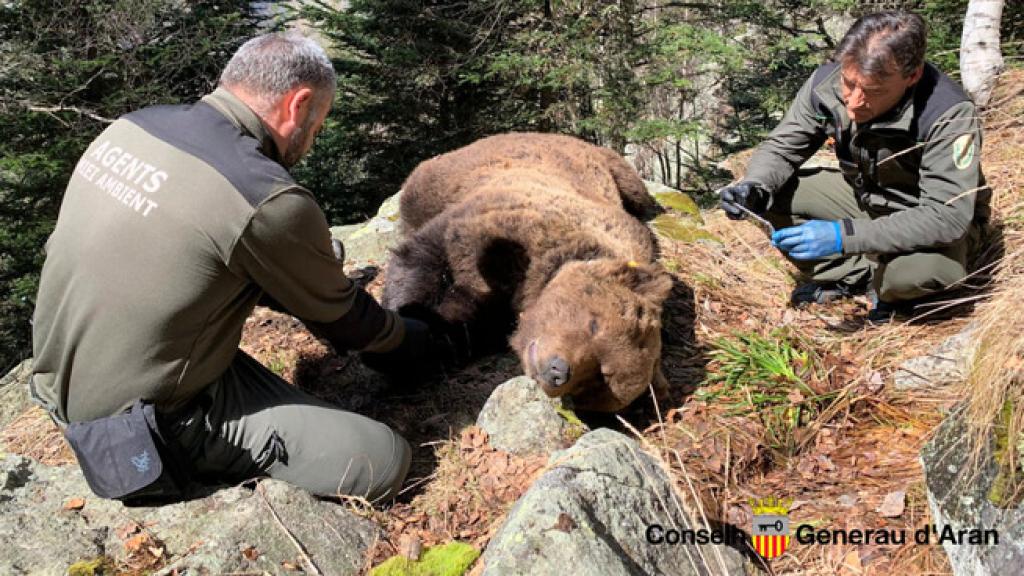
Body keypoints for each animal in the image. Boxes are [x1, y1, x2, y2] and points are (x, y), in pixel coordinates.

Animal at [382, 132, 671, 409]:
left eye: (601, 377)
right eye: (594, 324)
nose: (557, 371)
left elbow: (463, 326)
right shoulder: (499, 223)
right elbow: (424, 258)